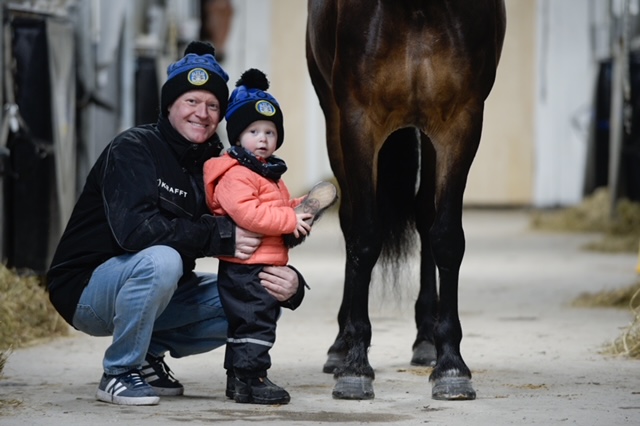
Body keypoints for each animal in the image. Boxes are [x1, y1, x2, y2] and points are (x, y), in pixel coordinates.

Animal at [304, 0, 504, 400]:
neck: (416, 9)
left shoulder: (461, 122)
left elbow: (446, 238)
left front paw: (452, 366)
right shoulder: (358, 120)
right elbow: (365, 238)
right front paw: (355, 367)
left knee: (426, 215)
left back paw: (427, 340)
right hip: (332, 115)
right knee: (351, 222)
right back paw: (340, 347)